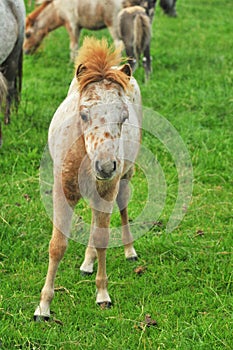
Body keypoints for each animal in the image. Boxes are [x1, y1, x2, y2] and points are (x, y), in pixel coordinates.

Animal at [33, 36, 141, 320]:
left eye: (124, 116)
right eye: (83, 114)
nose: (105, 166)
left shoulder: (107, 189)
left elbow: (102, 238)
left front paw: (103, 295)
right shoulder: (63, 191)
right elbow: (57, 245)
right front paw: (43, 308)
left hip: (123, 177)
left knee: (122, 207)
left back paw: (129, 252)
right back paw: (86, 263)